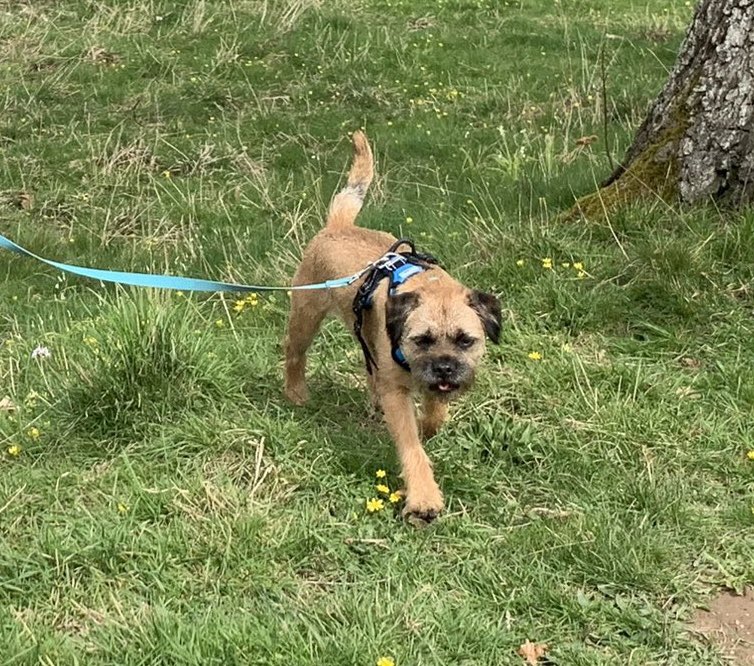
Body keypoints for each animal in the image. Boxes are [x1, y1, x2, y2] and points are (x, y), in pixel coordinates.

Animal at [282, 130, 500, 520]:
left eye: (466, 341)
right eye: (421, 340)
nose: (445, 369)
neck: (427, 285)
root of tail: (338, 226)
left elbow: (435, 414)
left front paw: (430, 423)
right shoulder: (398, 393)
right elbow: (411, 445)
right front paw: (424, 497)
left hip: (363, 332)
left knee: (369, 366)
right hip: (306, 313)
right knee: (295, 351)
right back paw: (295, 392)